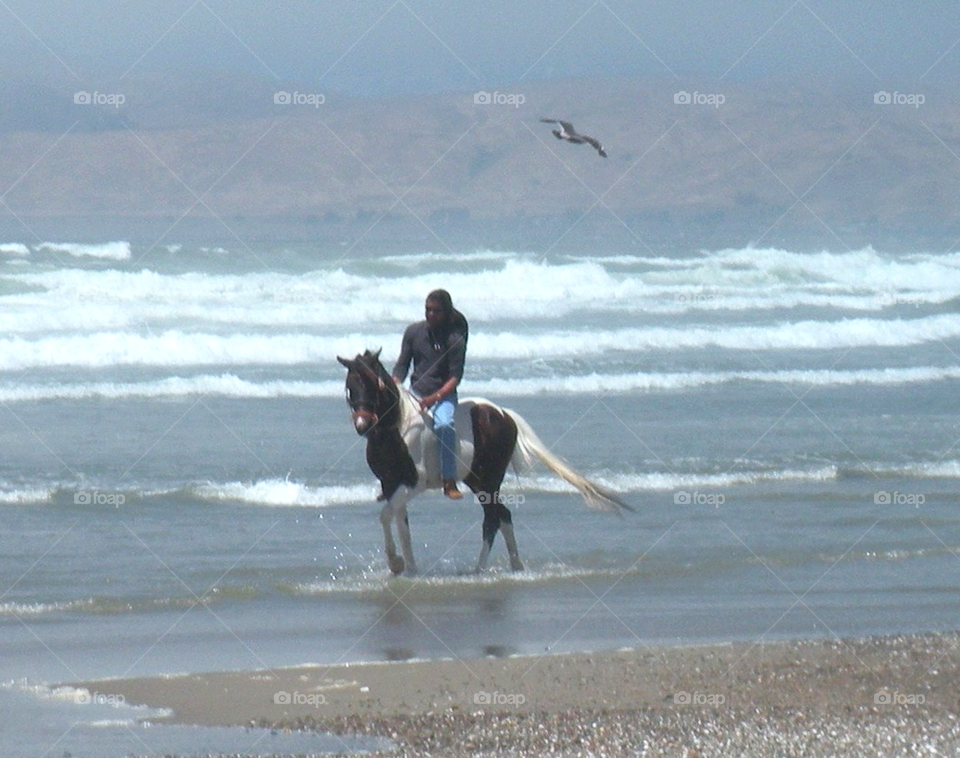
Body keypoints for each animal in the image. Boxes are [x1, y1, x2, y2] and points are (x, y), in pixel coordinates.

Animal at [336, 350, 632, 576]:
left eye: (372, 383)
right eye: (350, 386)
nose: (362, 425)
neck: (397, 427)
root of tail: (503, 413)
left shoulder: (412, 483)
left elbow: (386, 515)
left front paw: (397, 564)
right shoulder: (390, 484)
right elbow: (400, 524)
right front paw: (407, 567)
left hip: (489, 480)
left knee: (492, 518)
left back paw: (480, 569)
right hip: (477, 480)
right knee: (503, 515)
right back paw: (515, 565)